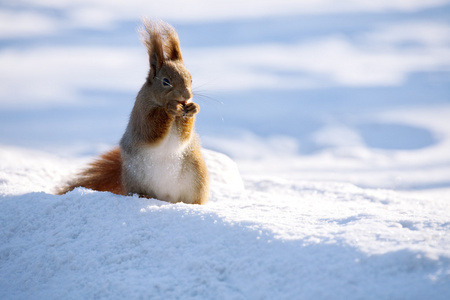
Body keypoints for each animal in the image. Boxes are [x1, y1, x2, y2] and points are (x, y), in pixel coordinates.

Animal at [56, 19, 209, 205]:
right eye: (165, 82)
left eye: (191, 79)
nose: (187, 95)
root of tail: (166, 199)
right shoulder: (141, 114)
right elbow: (151, 129)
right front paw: (170, 108)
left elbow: (183, 137)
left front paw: (193, 108)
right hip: (137, 178)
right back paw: (144, 196)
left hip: (196, 178)